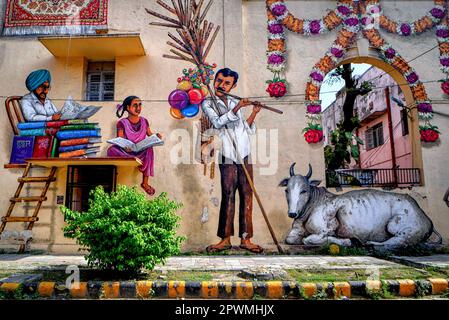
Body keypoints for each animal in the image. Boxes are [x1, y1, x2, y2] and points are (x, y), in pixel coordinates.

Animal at [280, 162, 440, 248]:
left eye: (304, 190)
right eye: (287, 190)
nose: (292, 214)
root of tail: (426, 218)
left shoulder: (325, 230)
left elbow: (308, 240)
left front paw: (349, 241)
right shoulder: (294, 233)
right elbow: (291, 239)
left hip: (398, 226)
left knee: (399, 242)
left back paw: (369, 243)